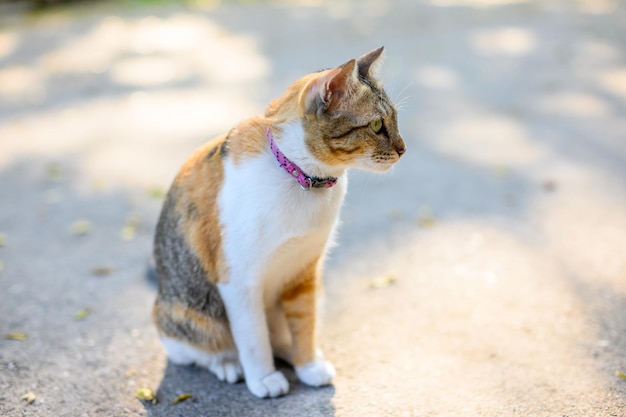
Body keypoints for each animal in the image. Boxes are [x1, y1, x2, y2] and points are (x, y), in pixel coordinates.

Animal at [151, 47, 404, 398]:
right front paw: (264, 377)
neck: (302, 178)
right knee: (202, 347)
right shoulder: (238, 281)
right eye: (378, 124)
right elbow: (253, 338)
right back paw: (228, 363)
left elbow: (304, 322)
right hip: (188, 315)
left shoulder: (305, 271)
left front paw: (307, 364)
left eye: (395, 119)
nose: (403, 149)